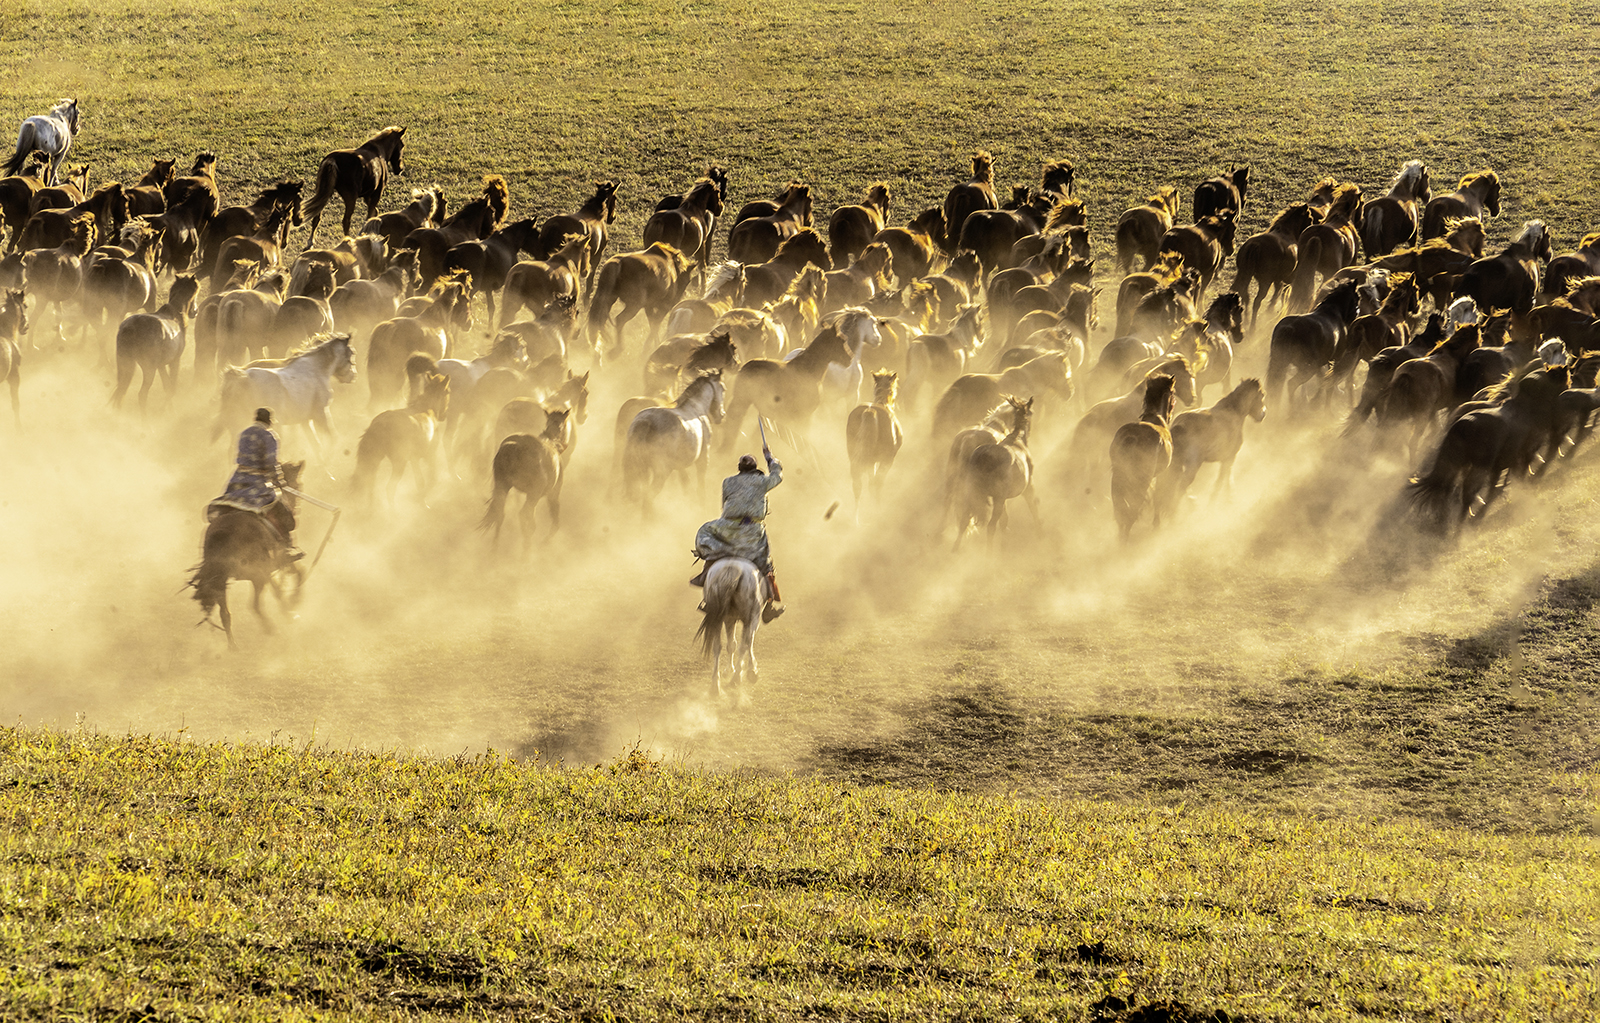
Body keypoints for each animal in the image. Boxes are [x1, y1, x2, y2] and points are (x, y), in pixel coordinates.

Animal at [110, 278, 199, 413]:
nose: (195, 311)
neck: (175, 316)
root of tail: (131, 326)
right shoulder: (175, 361)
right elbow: (172, 387)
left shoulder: (161, 365)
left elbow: (167, 386)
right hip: (148, 368)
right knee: (141, 394)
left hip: (126, 363)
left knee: (121, 391)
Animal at [190, 461, 305, 646]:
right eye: (297, 484)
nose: (296, 507)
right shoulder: (279, 560)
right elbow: (299, 573)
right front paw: (295, 600)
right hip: (257, 574)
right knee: (255, 605)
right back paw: (274, 626)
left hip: (222, 581)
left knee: (226, 614)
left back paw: (234, 647)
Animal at [216, 336, 356, 448]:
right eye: (352, 353)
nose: (353, 376)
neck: (315, 368)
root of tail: (241, 377)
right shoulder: (320, 414)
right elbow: (332, 438)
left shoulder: (305, 420)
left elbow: (316, 444)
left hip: (239, 422)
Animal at [620, 374, 729, 515]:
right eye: (723, 388)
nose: (721, 415)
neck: (696, 408)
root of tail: (646, 421)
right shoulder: (703, 459)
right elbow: (700, 485)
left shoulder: (680, 466)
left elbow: (686, 483)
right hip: (661, 472)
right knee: (648, 496)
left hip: (640, 470)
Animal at [697, 557, 764, 701]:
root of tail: (732, 568)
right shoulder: (752, 618)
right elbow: (748, 642)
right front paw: (752, 671)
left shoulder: (729, 619)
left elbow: (731, 645)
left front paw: (729, 670)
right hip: (750, 616)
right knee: (744, 644)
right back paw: (736, 679)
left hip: (717, 619)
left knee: (717, 646)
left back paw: (715, 686)